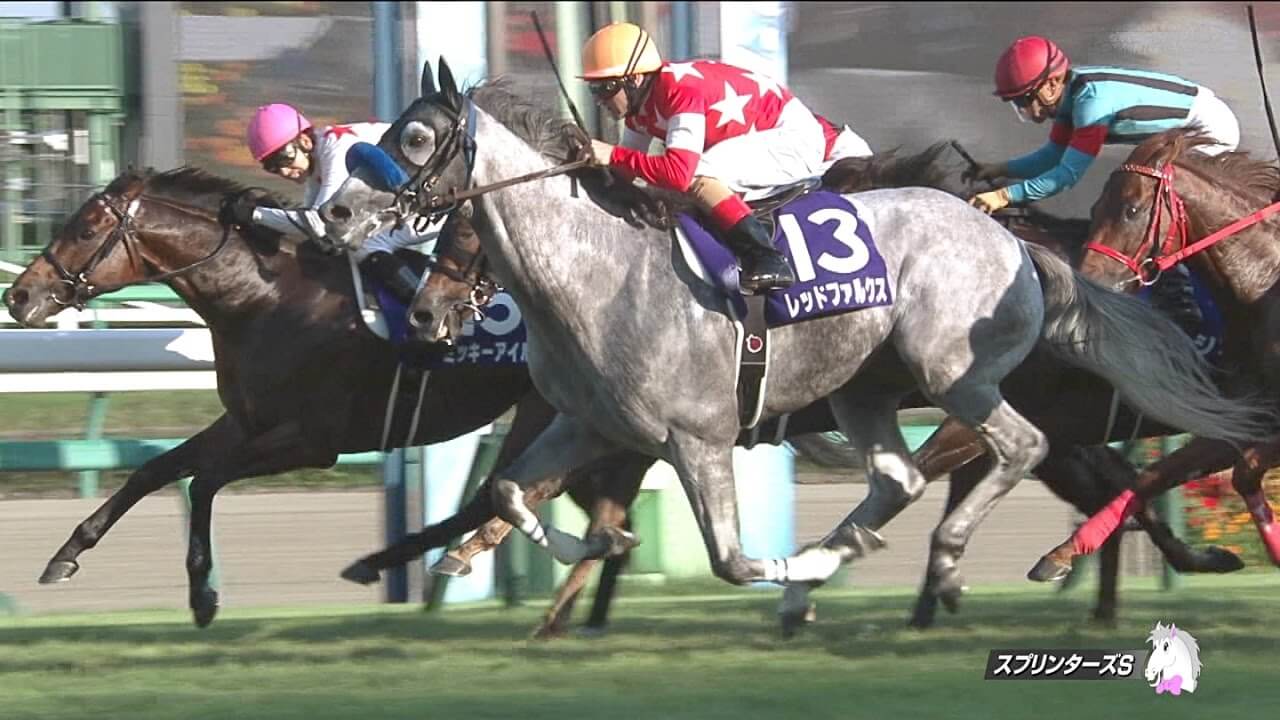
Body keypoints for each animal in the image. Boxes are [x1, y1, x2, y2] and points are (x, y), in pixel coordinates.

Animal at [1030, 128, 1280, 582]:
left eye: (1131, 210)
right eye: (1095, 207)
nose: (1087, 281)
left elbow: (1241, 472)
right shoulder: (1247, 417)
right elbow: (1152, 476)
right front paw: (1062, 553)